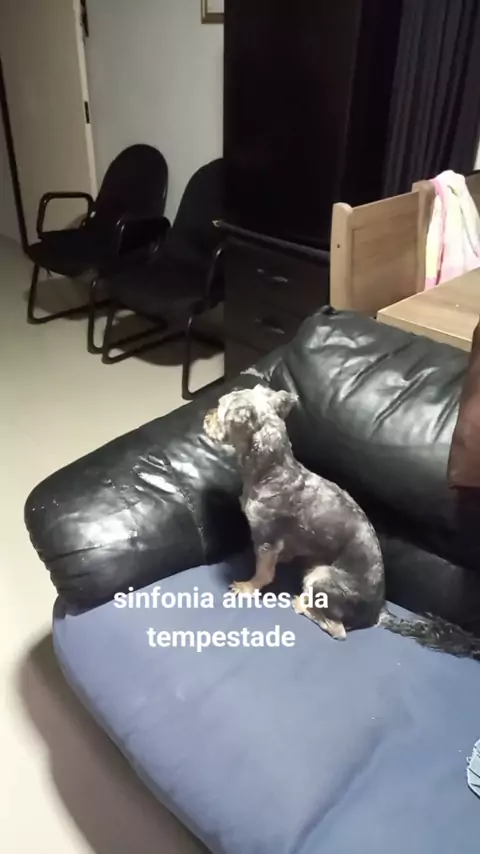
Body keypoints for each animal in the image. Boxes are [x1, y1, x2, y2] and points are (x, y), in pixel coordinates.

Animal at [204, 384, 480, 659]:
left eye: (220, 409)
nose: (206, 417)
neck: (273, 470)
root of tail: (377, 612)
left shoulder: (266, 537)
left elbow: (263, 571)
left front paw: (247, 586)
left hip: (321, 576)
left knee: (338, 630)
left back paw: (302, 604)